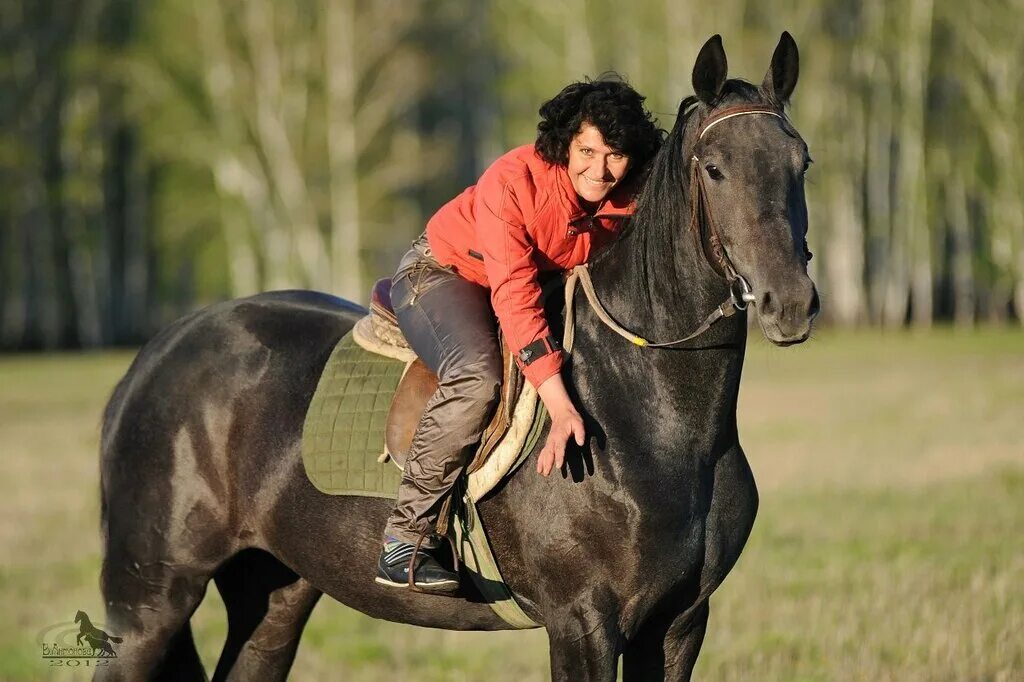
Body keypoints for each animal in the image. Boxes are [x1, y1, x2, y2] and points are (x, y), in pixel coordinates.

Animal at [96, 33, 815, 679]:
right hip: (148, 603)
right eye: (714, 168)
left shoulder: (678, 623)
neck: (656, 422)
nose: (792, 303)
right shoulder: (583, 624)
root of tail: (159, 353)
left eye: (801, 161)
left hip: (274, 594)